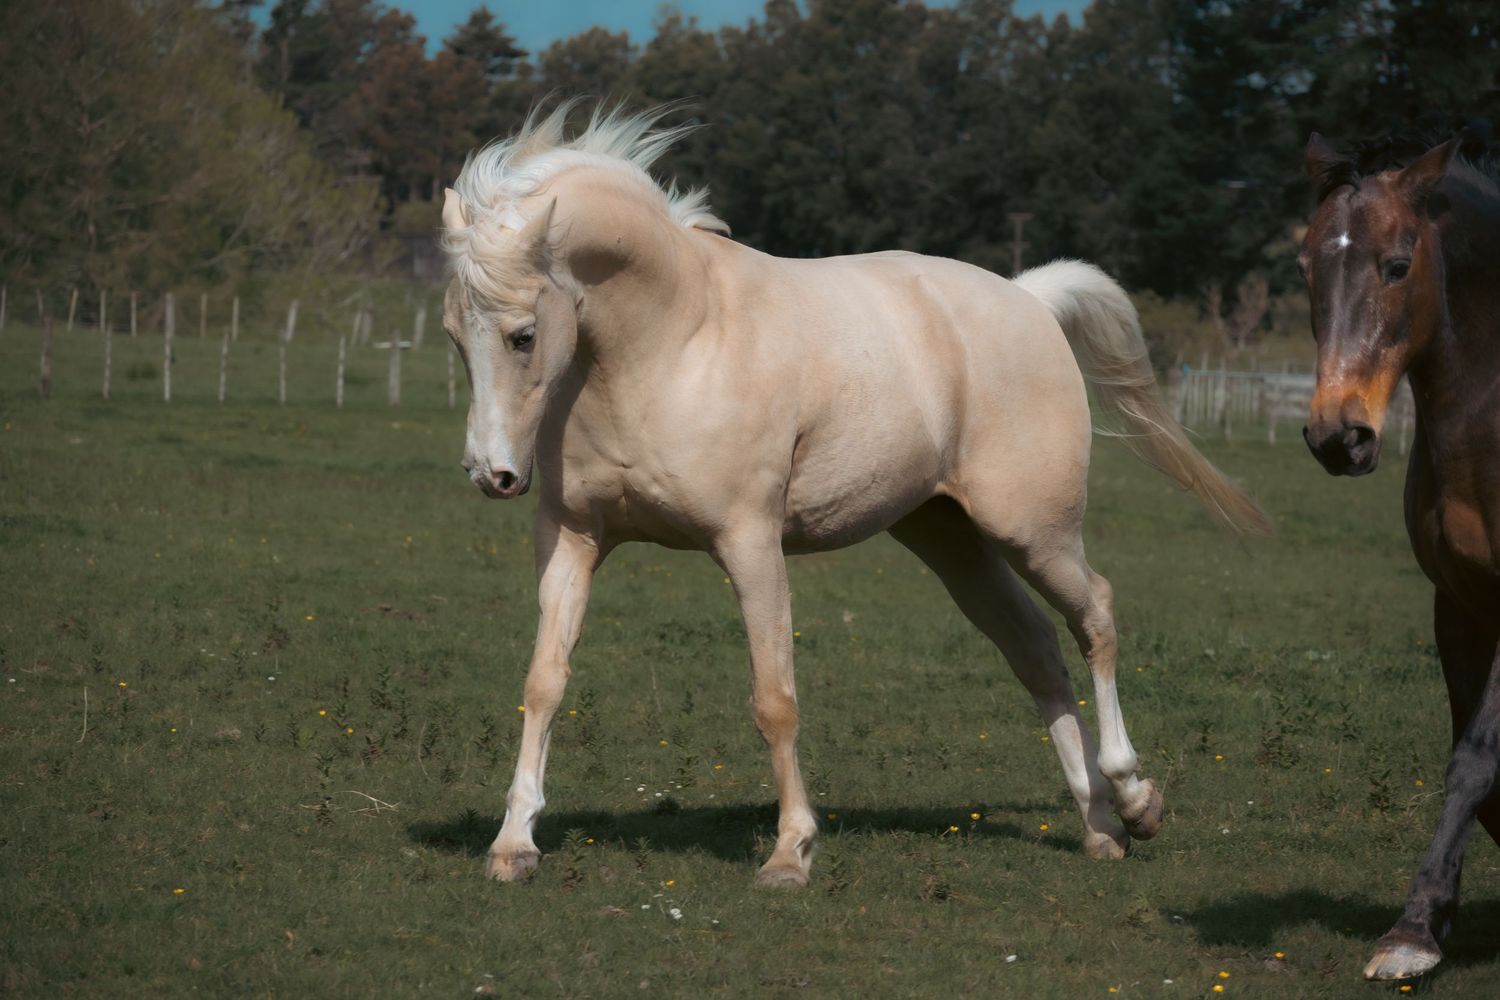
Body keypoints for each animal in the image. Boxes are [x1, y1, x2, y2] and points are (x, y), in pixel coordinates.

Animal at [439, 102, 1268, 889]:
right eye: (453, 335)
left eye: (522, 335)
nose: (491, 474)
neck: (674, 341)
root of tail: (1029, 300)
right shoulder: (574, 539)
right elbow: (544, 682)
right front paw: (514, 844)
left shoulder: (750, 544)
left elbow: (774, 699)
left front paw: (790, 854)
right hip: (951, 539)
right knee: (1033, 649)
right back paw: (1100, 827)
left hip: (1034, 531)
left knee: (1093, 615)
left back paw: (1135, 798)